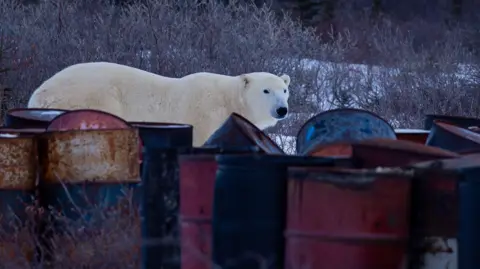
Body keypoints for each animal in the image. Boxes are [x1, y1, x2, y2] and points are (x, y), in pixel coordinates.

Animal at [28, 61, 290, 146]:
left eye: (285, 90)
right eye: (266, 90)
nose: (282, 109)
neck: (229, 99)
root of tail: (39, 93)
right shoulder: (205, 116)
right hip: (93, 97)